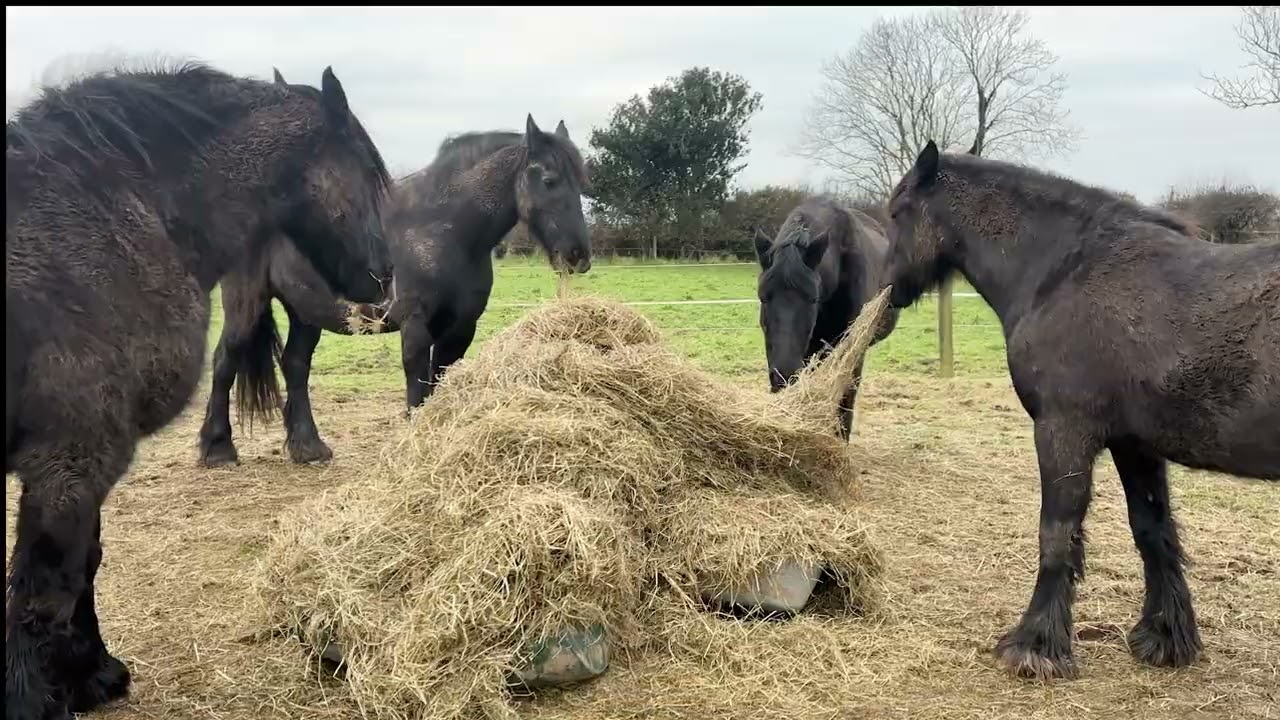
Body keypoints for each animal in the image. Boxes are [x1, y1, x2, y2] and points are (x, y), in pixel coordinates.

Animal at [5, 60, 393, 720]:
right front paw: (45, 696)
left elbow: (86, 564)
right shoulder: (72, 461)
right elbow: (48, 587)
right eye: (370, 170)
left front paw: (93, 676)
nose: (385, 273)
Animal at [196, 112, 591, 465]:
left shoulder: (460, 329)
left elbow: (438, 381)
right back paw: (218, 450)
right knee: (225, 360)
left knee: (295, 365)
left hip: (306, 311)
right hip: (246, 304)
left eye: (581, 182)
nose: (578, 255)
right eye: (550, 180)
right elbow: (417, 385)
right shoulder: (415, 324)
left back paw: (308, 448)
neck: (441, 228)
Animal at [881, 140, 1280, 681]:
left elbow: (1057, 533)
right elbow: (1153, 532)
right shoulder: (1135, 446)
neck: (1065, 270)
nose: (884, 297)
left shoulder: (1062, 432)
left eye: (897, 211)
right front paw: (1165, 637)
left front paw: (1035, 646)